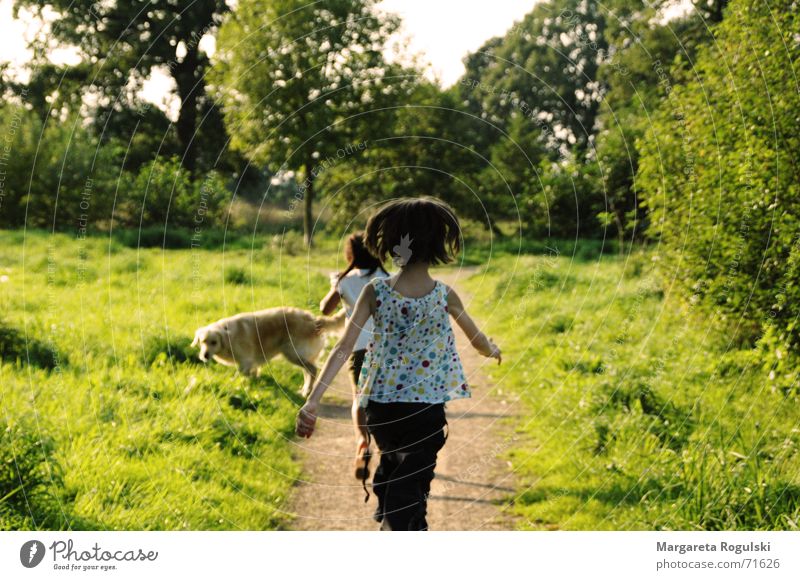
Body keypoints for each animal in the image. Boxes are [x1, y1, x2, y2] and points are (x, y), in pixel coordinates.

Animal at [195, 308, 346, 394]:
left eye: (214, 342)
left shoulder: (245, 361)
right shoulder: (252, 362)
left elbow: (240, 375)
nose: (205, 355)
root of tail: (314, 320)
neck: (228, 337)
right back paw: (304, 390)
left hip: (292, 352)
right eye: (202, 341)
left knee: (313, 370)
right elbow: (253, 373)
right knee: (308, 371)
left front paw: (234, 383)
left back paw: (307, 391)